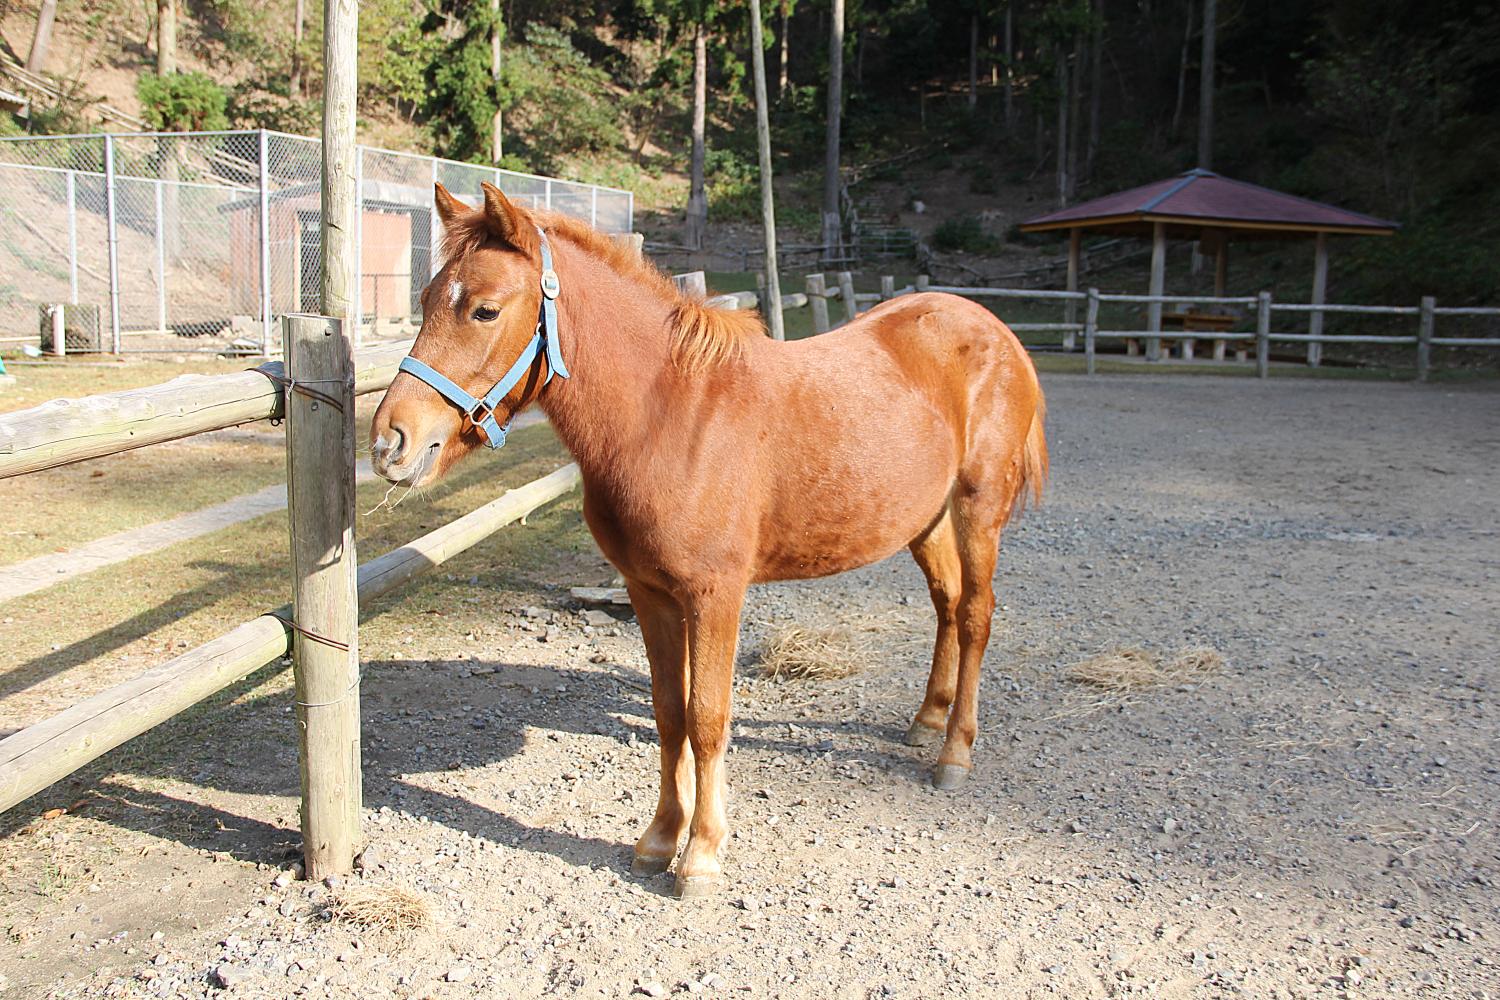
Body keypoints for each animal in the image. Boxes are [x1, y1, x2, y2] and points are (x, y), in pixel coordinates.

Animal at [370, 183, 1048, 898]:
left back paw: (954, 752)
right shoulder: (650, 593)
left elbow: (707, 718)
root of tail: (996, 330)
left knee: (974, 615)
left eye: (485, 309)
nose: (390, 442)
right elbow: (670, 713)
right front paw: (658, 839)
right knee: (947, 605)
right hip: (927, 521)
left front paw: (700, 853)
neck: (671, 416)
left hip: (978, 510)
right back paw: (926, 721)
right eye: (424, 300)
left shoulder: (715, 596)